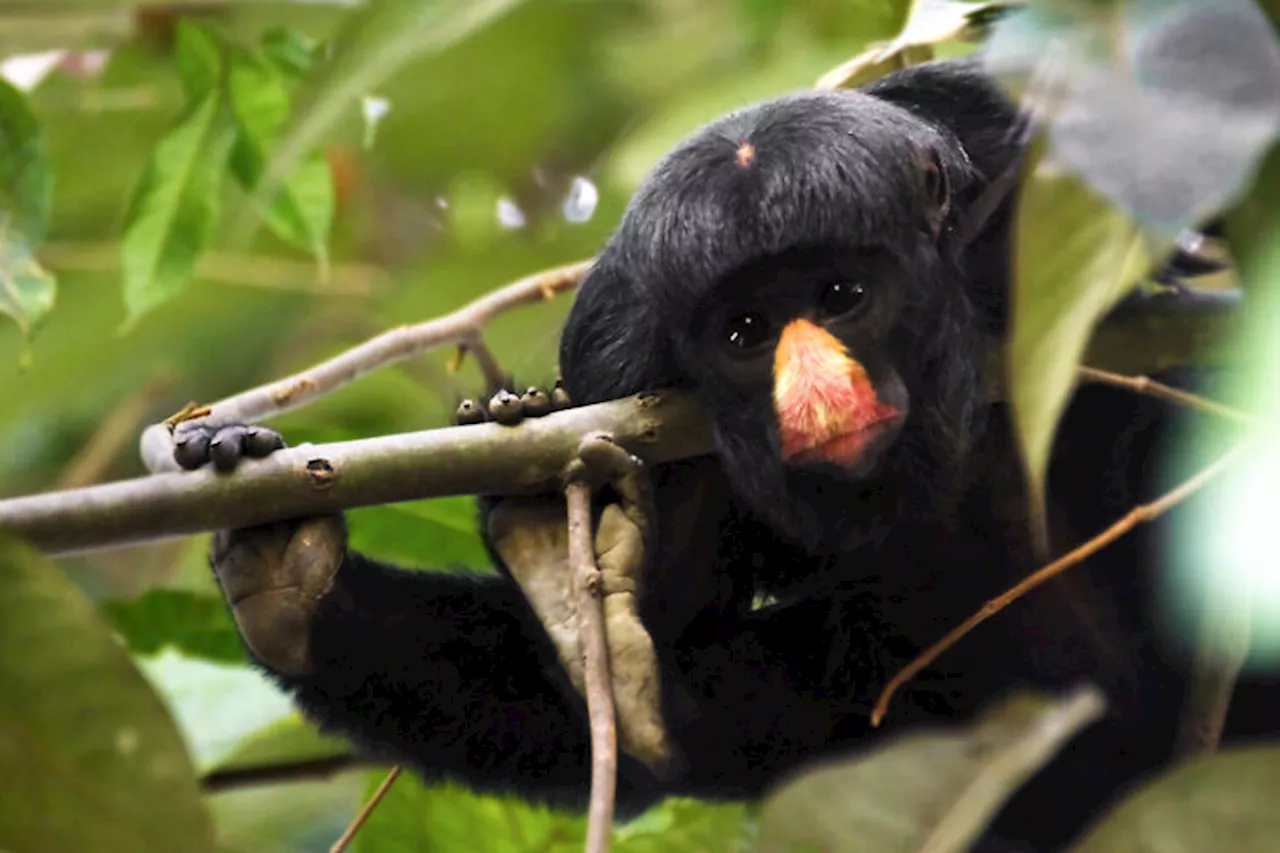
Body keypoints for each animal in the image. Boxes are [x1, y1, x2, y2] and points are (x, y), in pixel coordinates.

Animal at [172, 56, 1269, 845]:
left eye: (842, 296)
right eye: (744, 333)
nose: (816, 394)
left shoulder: (1006, 147)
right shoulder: (616, 354)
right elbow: (635, 724)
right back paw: (338, 589)